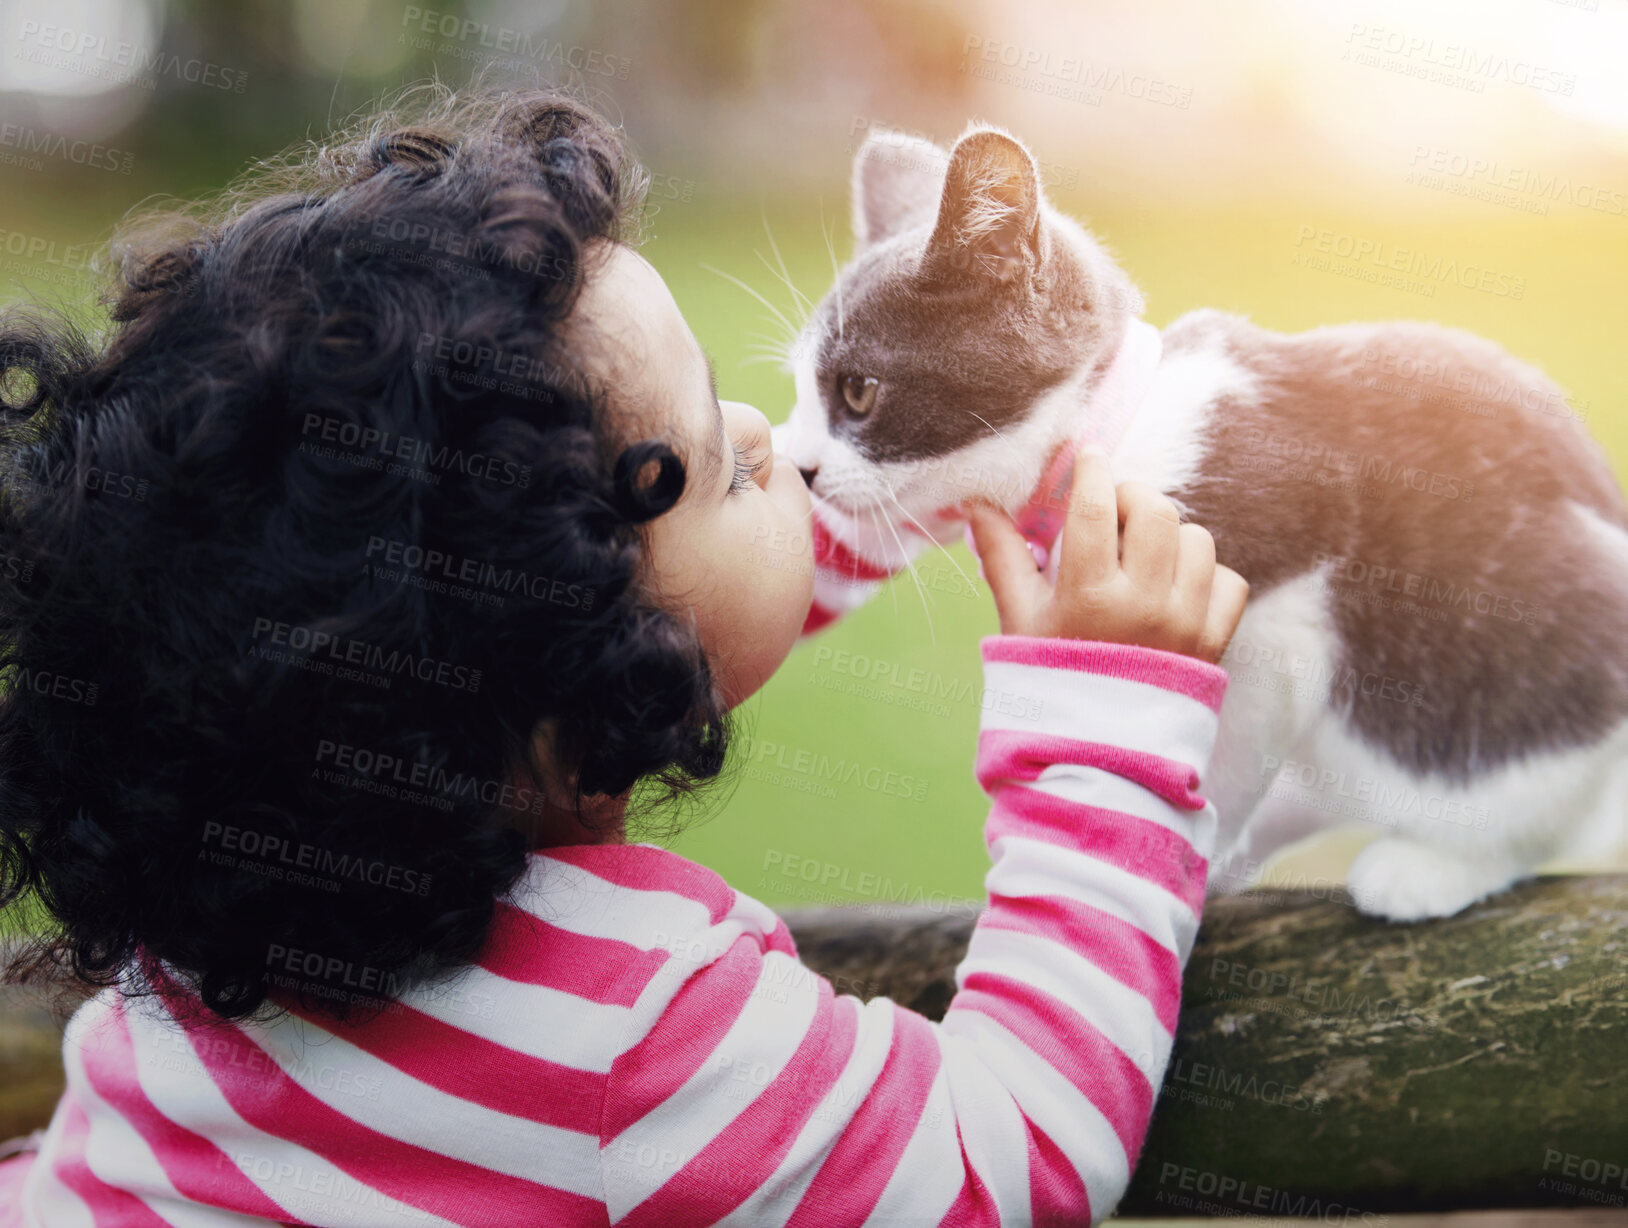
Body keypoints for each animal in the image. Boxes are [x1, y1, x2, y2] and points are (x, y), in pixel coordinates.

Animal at [771, 122, 1628, 918]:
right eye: (803, 394)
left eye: (857, 392)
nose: (800, 468)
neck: (1108, 439)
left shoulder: (1276, 630)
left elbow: (1229, 751)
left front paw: (1187, 863)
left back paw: (1430, 868)